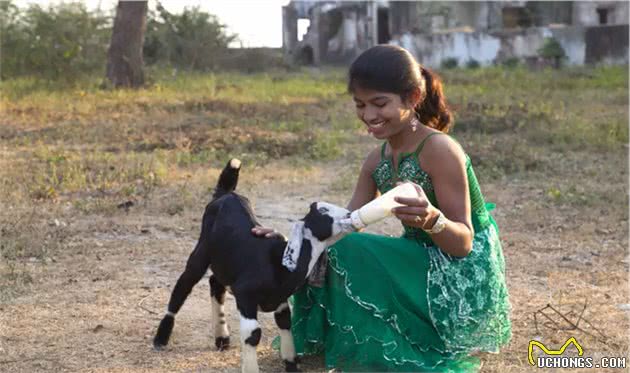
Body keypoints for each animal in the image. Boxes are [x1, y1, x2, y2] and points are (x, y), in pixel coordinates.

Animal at [153, 158, 356, 370]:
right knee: (185, 283)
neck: (280, 265)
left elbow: (285, 322)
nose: (349, 214)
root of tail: (226, 193)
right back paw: (161, 338)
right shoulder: (245, 294)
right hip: (203, 248)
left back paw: (222, 338)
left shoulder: (279, 298)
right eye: (323, 210)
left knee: (215, 283)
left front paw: (291, 363)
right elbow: (253, 334)